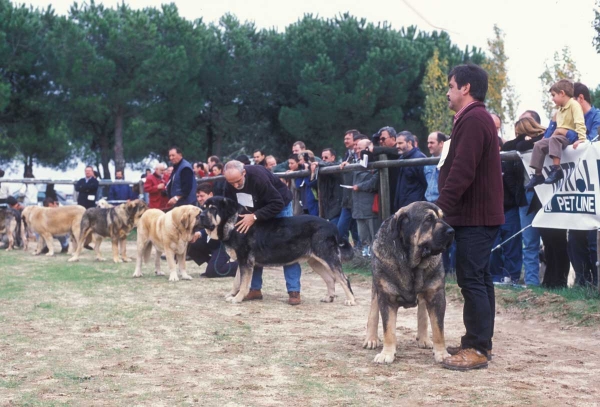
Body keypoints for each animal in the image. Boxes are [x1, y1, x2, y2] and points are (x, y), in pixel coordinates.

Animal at [197, 197, 356, 306]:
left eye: (213, 208)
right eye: (203, 207)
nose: (200, 216)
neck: (233, 223)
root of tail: (332, 226)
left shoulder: (245, 262)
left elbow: (242, 284)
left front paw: (238, 298)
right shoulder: (242, 262)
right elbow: (236, 282)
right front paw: (232, 295)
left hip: (328, 258)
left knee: (344, 279)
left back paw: (351, 300)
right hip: (315, 261)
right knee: (330, 279)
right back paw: (329, 297)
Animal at [360, 202, 454, 364]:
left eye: (442, 217)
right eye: (428, 219)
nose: (451, 231)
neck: (412, 264)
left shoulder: (436, 296)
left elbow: (438, 328)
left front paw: (442, 353)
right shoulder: (386, 297)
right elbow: (388, 328)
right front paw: (387, 353)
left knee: (422, 311)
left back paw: (423, 338)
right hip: (376, 287)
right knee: (373, 310)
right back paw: (371, 339)